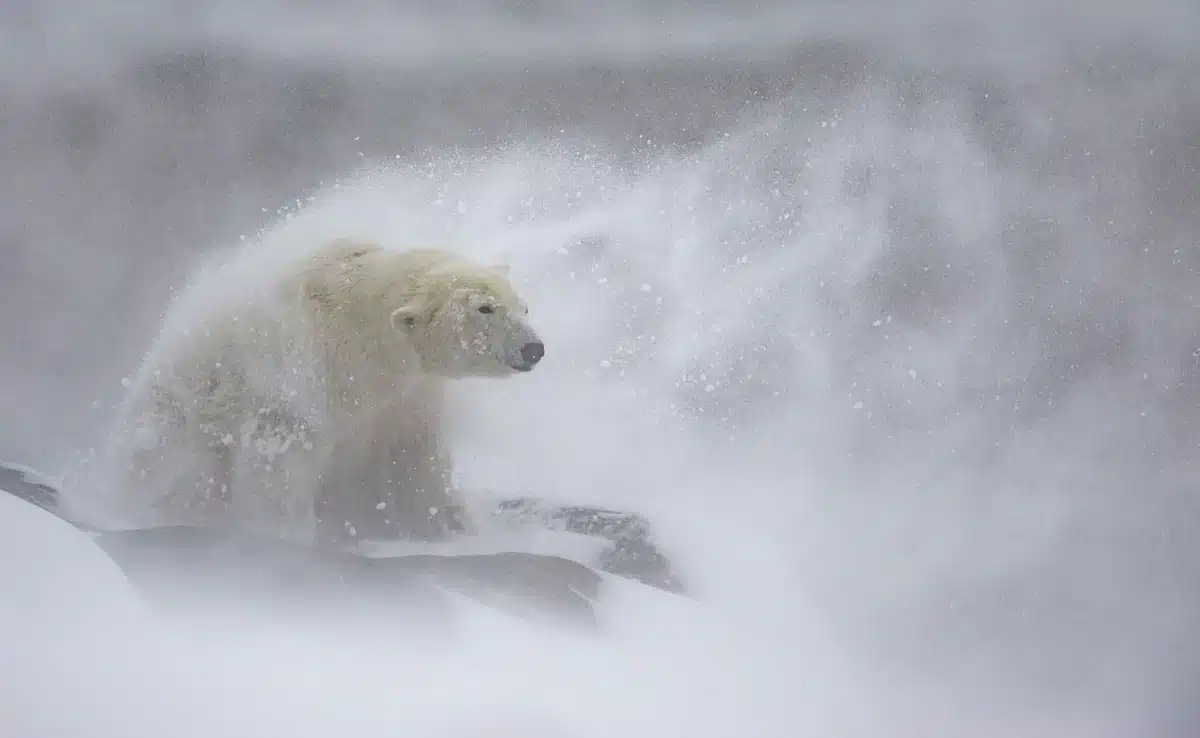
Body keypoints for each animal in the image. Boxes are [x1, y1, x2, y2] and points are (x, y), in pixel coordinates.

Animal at [96, 240, 547, 544]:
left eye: (522, 306)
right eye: (484, 308)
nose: (533, 348)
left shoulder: (406, 397)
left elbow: (417, 459)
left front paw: (455, 525)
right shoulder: (301, 374)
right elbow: (281, 455)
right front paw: (287, 533)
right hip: (171, 425)